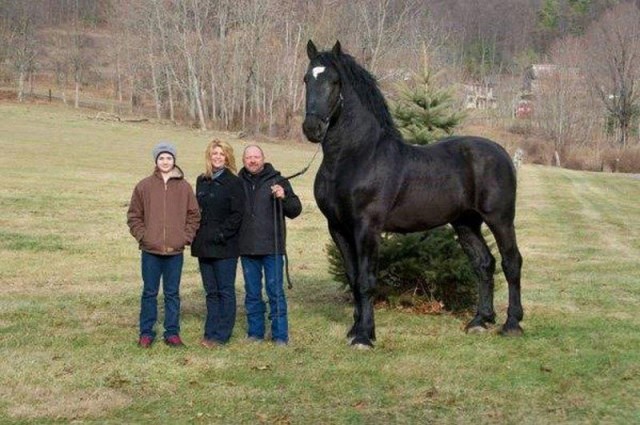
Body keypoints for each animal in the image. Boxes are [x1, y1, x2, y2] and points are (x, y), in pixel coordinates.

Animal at [302, 39, 524, 346]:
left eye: (334, 81)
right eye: (307, 79)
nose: (312, 128)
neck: (356, 156)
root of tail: (501, 152)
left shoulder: (366, 228)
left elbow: (366, 281)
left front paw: (365, 337)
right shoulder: (337, 228)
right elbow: (352, 277)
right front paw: (356, 329)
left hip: (500, 219)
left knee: (511, 262)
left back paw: (512, 323)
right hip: (466, 222)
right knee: (484, 264)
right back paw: (480, 320)